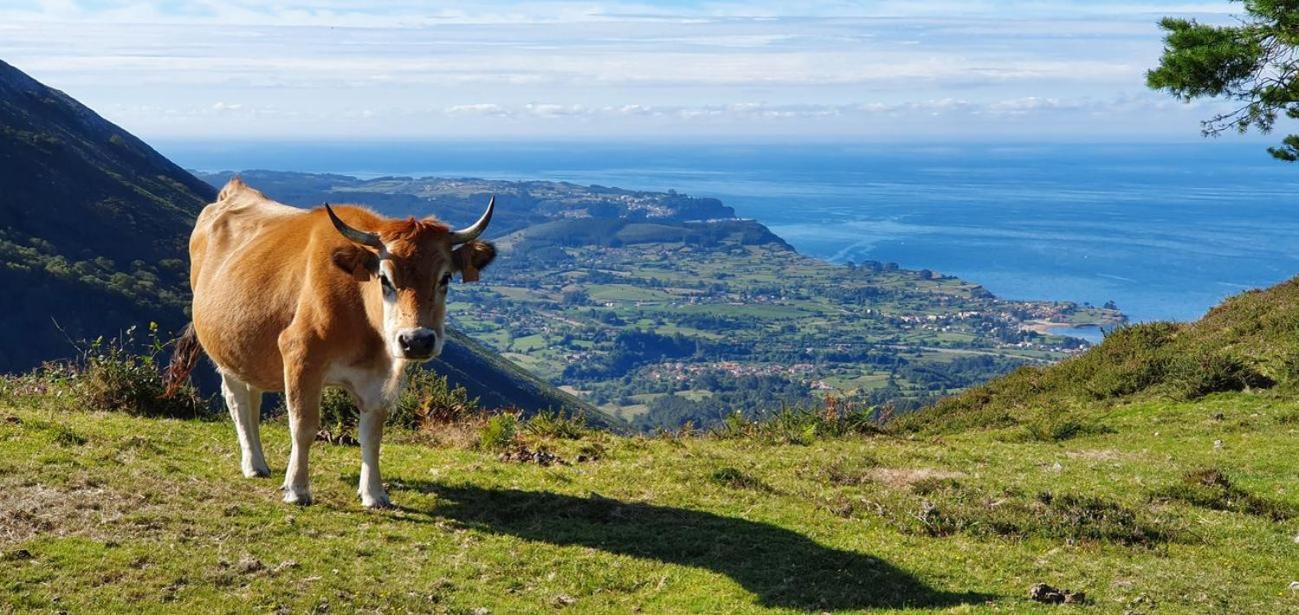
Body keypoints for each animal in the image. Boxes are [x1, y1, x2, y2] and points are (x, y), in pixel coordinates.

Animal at [166, 179, 496, 507]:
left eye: (445, 279)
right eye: (384, 278)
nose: (416, 340)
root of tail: (234, 190)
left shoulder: (380, 376)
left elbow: (372, 434)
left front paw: (374, 493)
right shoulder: (300, 356)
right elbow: (303, 426)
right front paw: (297, 488)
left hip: (248, 349)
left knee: (253, 397)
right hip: (222, 348)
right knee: (237, 401)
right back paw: (253, 463)